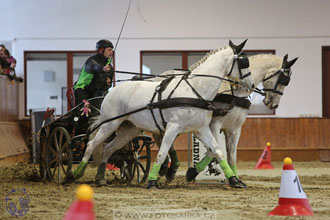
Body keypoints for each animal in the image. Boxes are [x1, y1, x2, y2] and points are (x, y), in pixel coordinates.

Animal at [65, 39, 255, 187]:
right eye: (244, 62)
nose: (252, 85)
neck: (194, 90)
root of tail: (111, 91)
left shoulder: (201, 129)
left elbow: (217, 151)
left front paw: (235, 181)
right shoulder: (173, 127)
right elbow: (163, 153)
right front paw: (152, 180)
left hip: (128, 130)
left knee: (107, 149)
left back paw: (100, 178)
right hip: (110, 124)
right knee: (91, 145)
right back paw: (74, 174)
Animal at [186, 53, 300, 184]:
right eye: (283, 80)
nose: (275, 105)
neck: (235, 93)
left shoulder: (234, 129)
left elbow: (232, 156)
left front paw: (235, 179)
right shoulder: (214, 125)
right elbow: (213, 151)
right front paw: (192, 172)